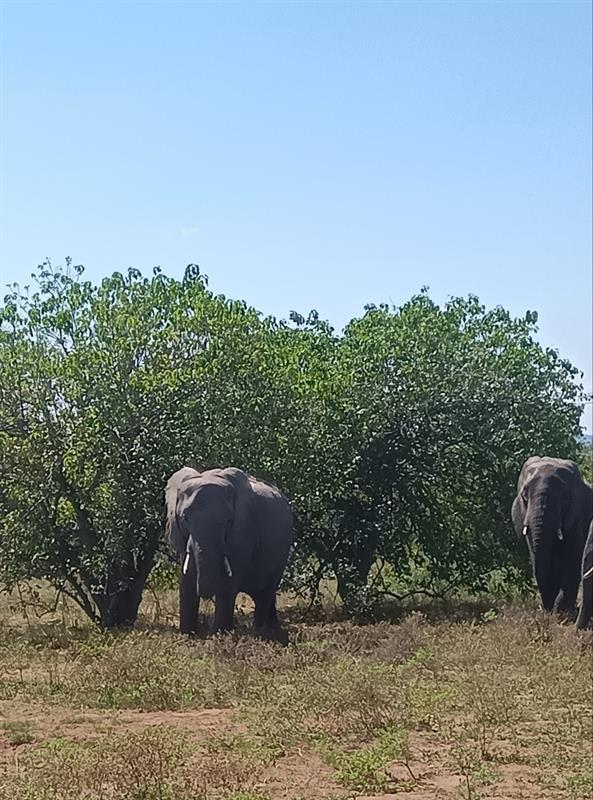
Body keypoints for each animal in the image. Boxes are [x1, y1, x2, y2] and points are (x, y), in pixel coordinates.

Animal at [165, 466, 293, 639]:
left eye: (229, 521)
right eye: (185, 518)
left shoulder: (243, 530)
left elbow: (228, 583)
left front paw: (219, 635)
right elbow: (186, 579)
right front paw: (188, 635)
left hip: (283, 551)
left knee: (265, 594)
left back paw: (259, 633)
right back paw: (273, 630)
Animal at [512, 456, 593, 617]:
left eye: (564, 498)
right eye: (524, 495)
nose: (547, 609)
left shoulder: (577, 516)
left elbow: (572, 560)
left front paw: (561, 611)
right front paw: (555, 611)